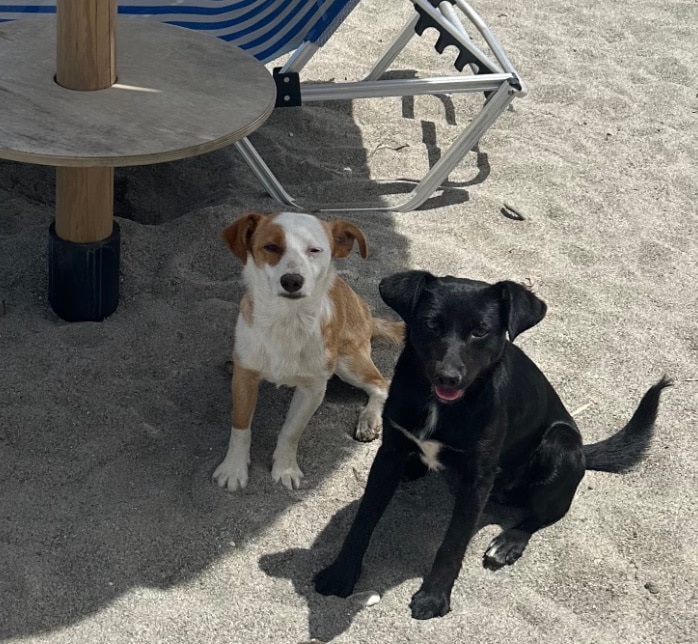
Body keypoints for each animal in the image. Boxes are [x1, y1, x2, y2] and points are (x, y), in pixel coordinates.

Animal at [211, 214, 402, 490]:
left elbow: (291, 431)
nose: (292, 280)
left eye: (315, 250)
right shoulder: (244, 379)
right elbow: (240, 426)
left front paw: (285, 468)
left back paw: (368, 420)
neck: (287, 322)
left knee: (380, 384)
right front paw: (234, 469)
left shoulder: (312, 389)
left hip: (348, 361)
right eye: (271, 247)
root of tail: (366, 313)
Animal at [316, 270, 668, 620]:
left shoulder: (477, 481)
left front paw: (434, 597)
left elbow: (453, 544)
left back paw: (510, 541)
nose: (448, 378)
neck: (440, 406)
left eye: (480, 331)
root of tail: (583, 449)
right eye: (431, 324)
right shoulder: (389, 455)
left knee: (548, 512)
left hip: (560, 443)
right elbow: (364, 519)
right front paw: (341, 573)